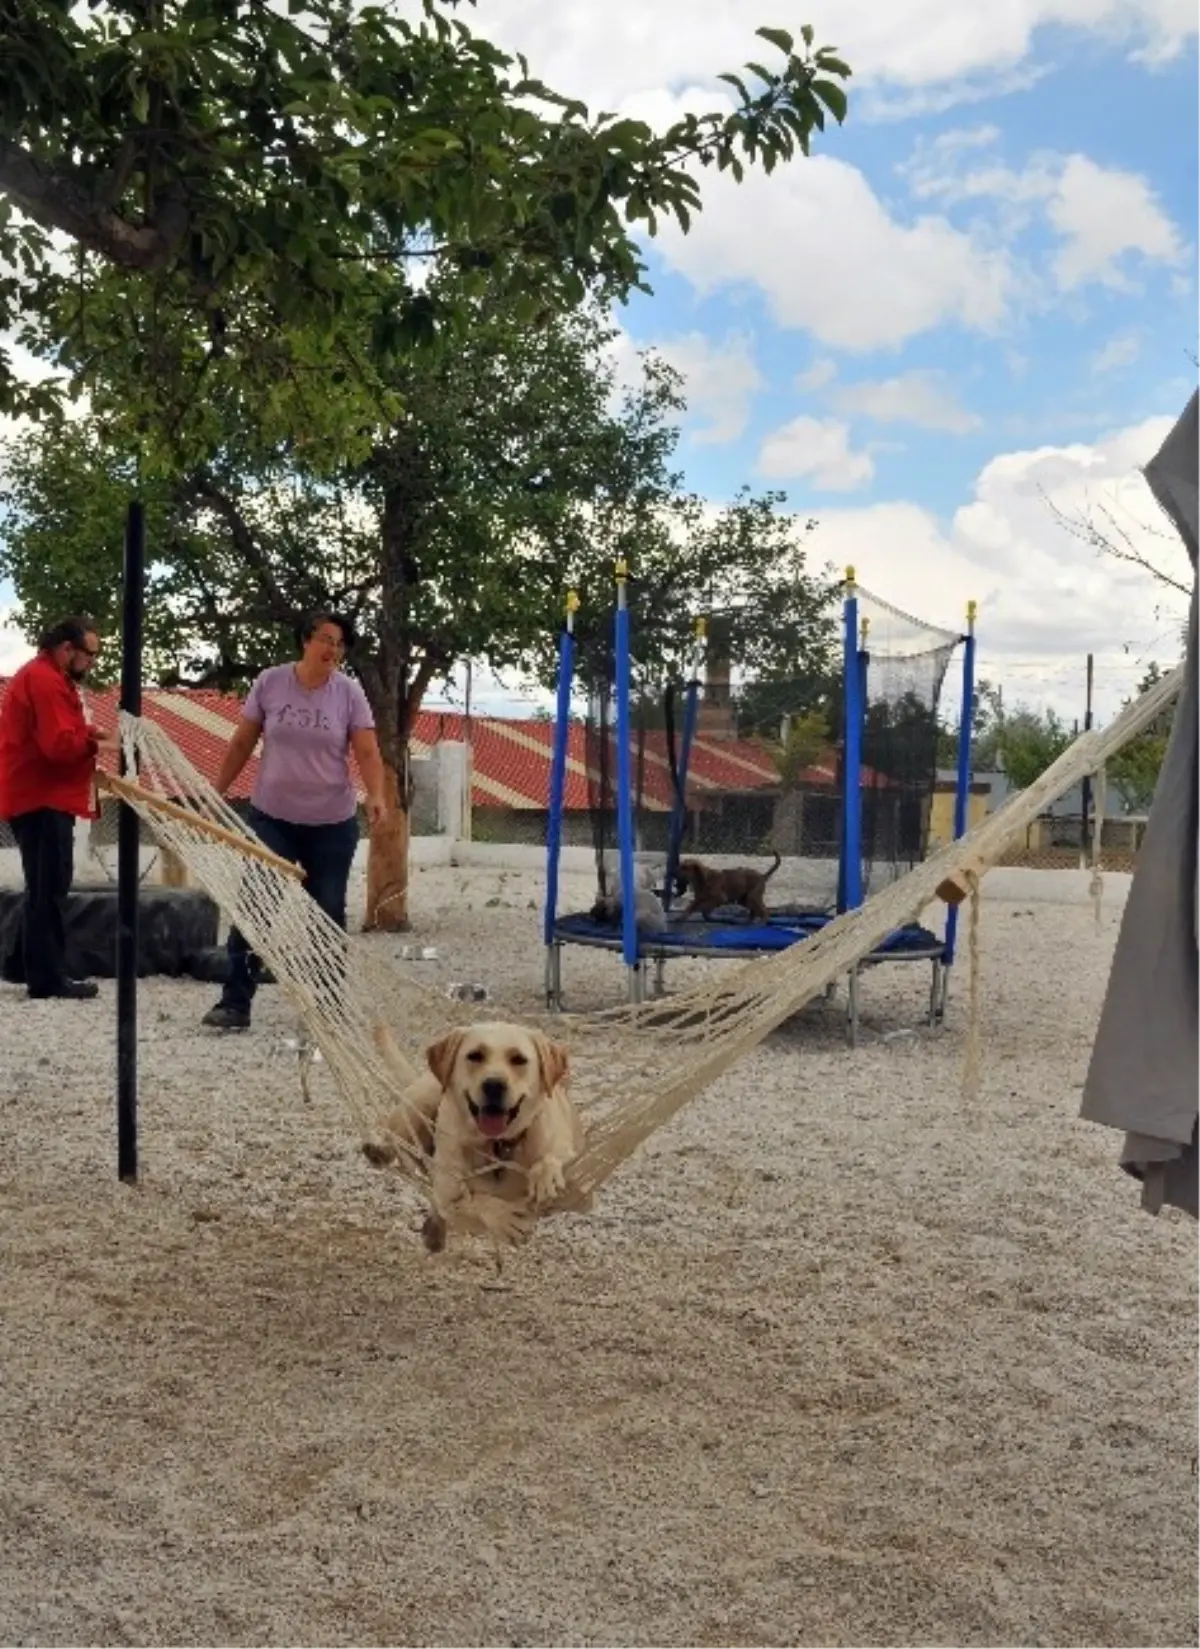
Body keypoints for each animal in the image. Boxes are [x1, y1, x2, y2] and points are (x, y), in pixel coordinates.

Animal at [365, 1015, 590, 1246]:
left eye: (518, 1059)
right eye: (475, 1055)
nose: (494, 1085)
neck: (496, 1145)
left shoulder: (577, 1178)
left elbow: (553, 1156)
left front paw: (546, 1174)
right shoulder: (446, 1188)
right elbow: (469, 1202)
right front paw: (502, 1217)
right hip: (421, 1102)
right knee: (394, 1134)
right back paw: (381, 1151)